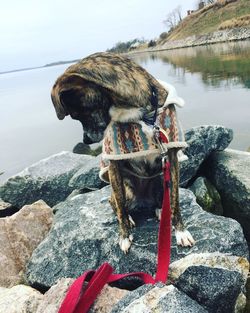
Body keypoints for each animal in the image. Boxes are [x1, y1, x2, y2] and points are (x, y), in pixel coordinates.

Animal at [51, 51, 195, 251]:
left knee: (161, 199)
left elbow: (175, 200)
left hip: (160, 179)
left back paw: (160, 210)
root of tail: (143, 199)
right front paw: (124, 236)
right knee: (115, 203)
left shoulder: (172, 155)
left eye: (77, 114)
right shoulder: (113, 162)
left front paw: (181, 231)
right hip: (126, 189)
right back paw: (130, 218)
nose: (85, 140)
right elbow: (119, 205)